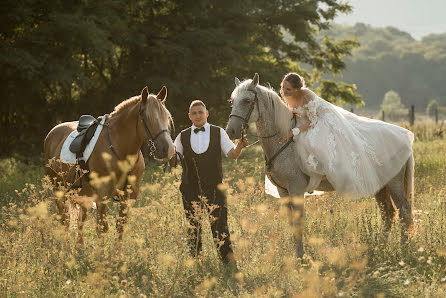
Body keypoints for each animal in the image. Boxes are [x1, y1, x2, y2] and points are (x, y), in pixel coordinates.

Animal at [44, 85, 174, 244]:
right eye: (147, 118)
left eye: (166, 117)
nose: (168, 149)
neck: (120, 151)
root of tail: (53, 132)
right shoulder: (102, 196)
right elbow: (102, 229)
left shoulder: (128, 197)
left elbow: (120, 227)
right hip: (58, 190)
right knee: (65, 220)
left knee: (81, 219)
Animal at [226, 73, 414, 258]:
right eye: (232, 101)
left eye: (247, 101)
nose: (230, 131)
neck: (283, 142)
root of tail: (404, 137)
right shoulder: (283, 191)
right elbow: (291, 223)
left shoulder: (296, 190)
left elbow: (298, 223)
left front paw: (301, 258)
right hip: (380, 186)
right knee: (388, 214)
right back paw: (381, 248)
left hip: (394, 183)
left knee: (404, 211)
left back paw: (403, 251)